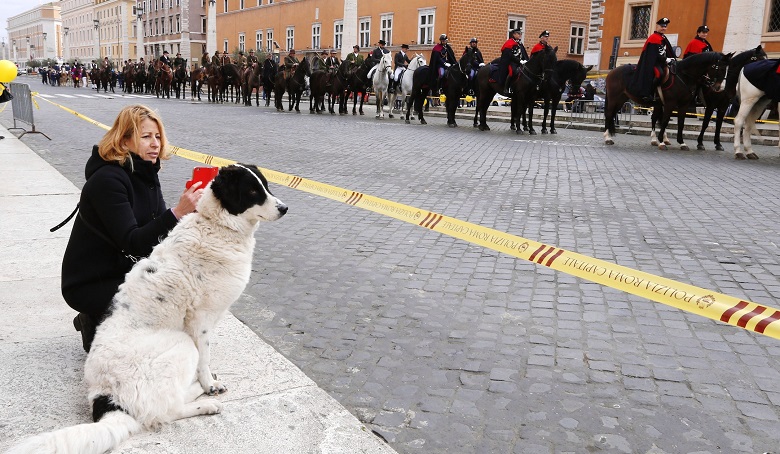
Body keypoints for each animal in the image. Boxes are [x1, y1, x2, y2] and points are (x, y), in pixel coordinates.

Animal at [7, 163, 288, 454]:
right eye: (252, 191)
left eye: (266, 186)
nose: (285, 208)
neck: (217, 225)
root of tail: (108, 397)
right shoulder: (200, 320)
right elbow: (204, 358)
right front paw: (209, 384)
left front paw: (207, 381)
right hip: (182, 344)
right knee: (167, 410)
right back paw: (205, 400)